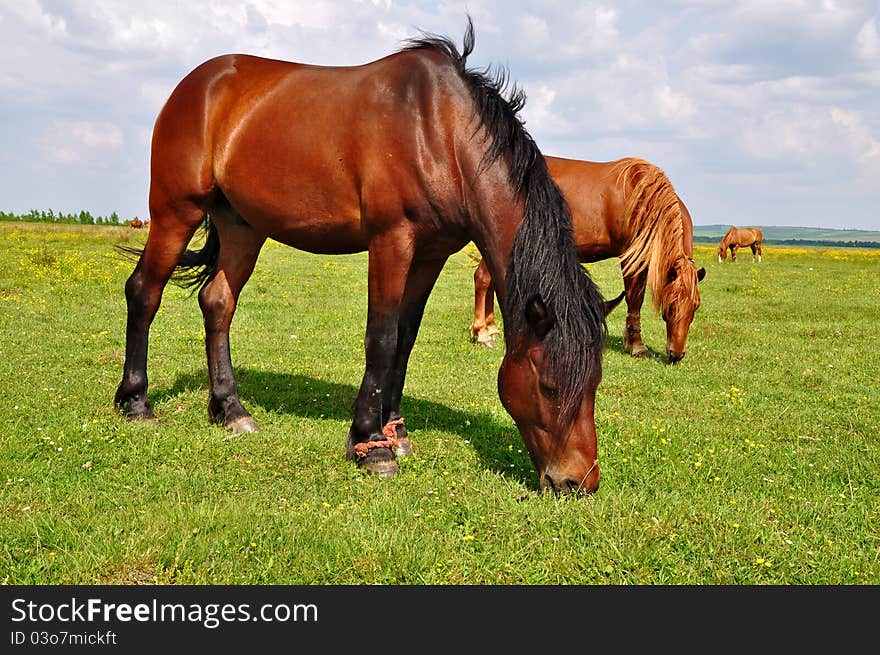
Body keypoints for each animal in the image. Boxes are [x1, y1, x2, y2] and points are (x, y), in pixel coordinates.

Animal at [113, 18, 612, 494]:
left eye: (594, 383)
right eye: (548, 386)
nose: (579, 482)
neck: (439, 130)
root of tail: (196, 84)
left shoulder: (431, 253)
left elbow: (406, 338)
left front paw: (396, 431)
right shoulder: (392, 240)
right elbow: (383, 338)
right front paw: (371, 445)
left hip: (242, 227)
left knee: (217, 302)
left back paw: (230, 410)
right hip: (176, 211)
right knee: (144, 292)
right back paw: (136, 403)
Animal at [468, 158, 708, 364]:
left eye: (695, 306)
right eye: (670, 306)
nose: (677, 354)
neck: (643, 197)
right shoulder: (630, 257)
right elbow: (634, 299)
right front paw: (637, 345)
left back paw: (491, 328)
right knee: (482, 279)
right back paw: (482, 332)